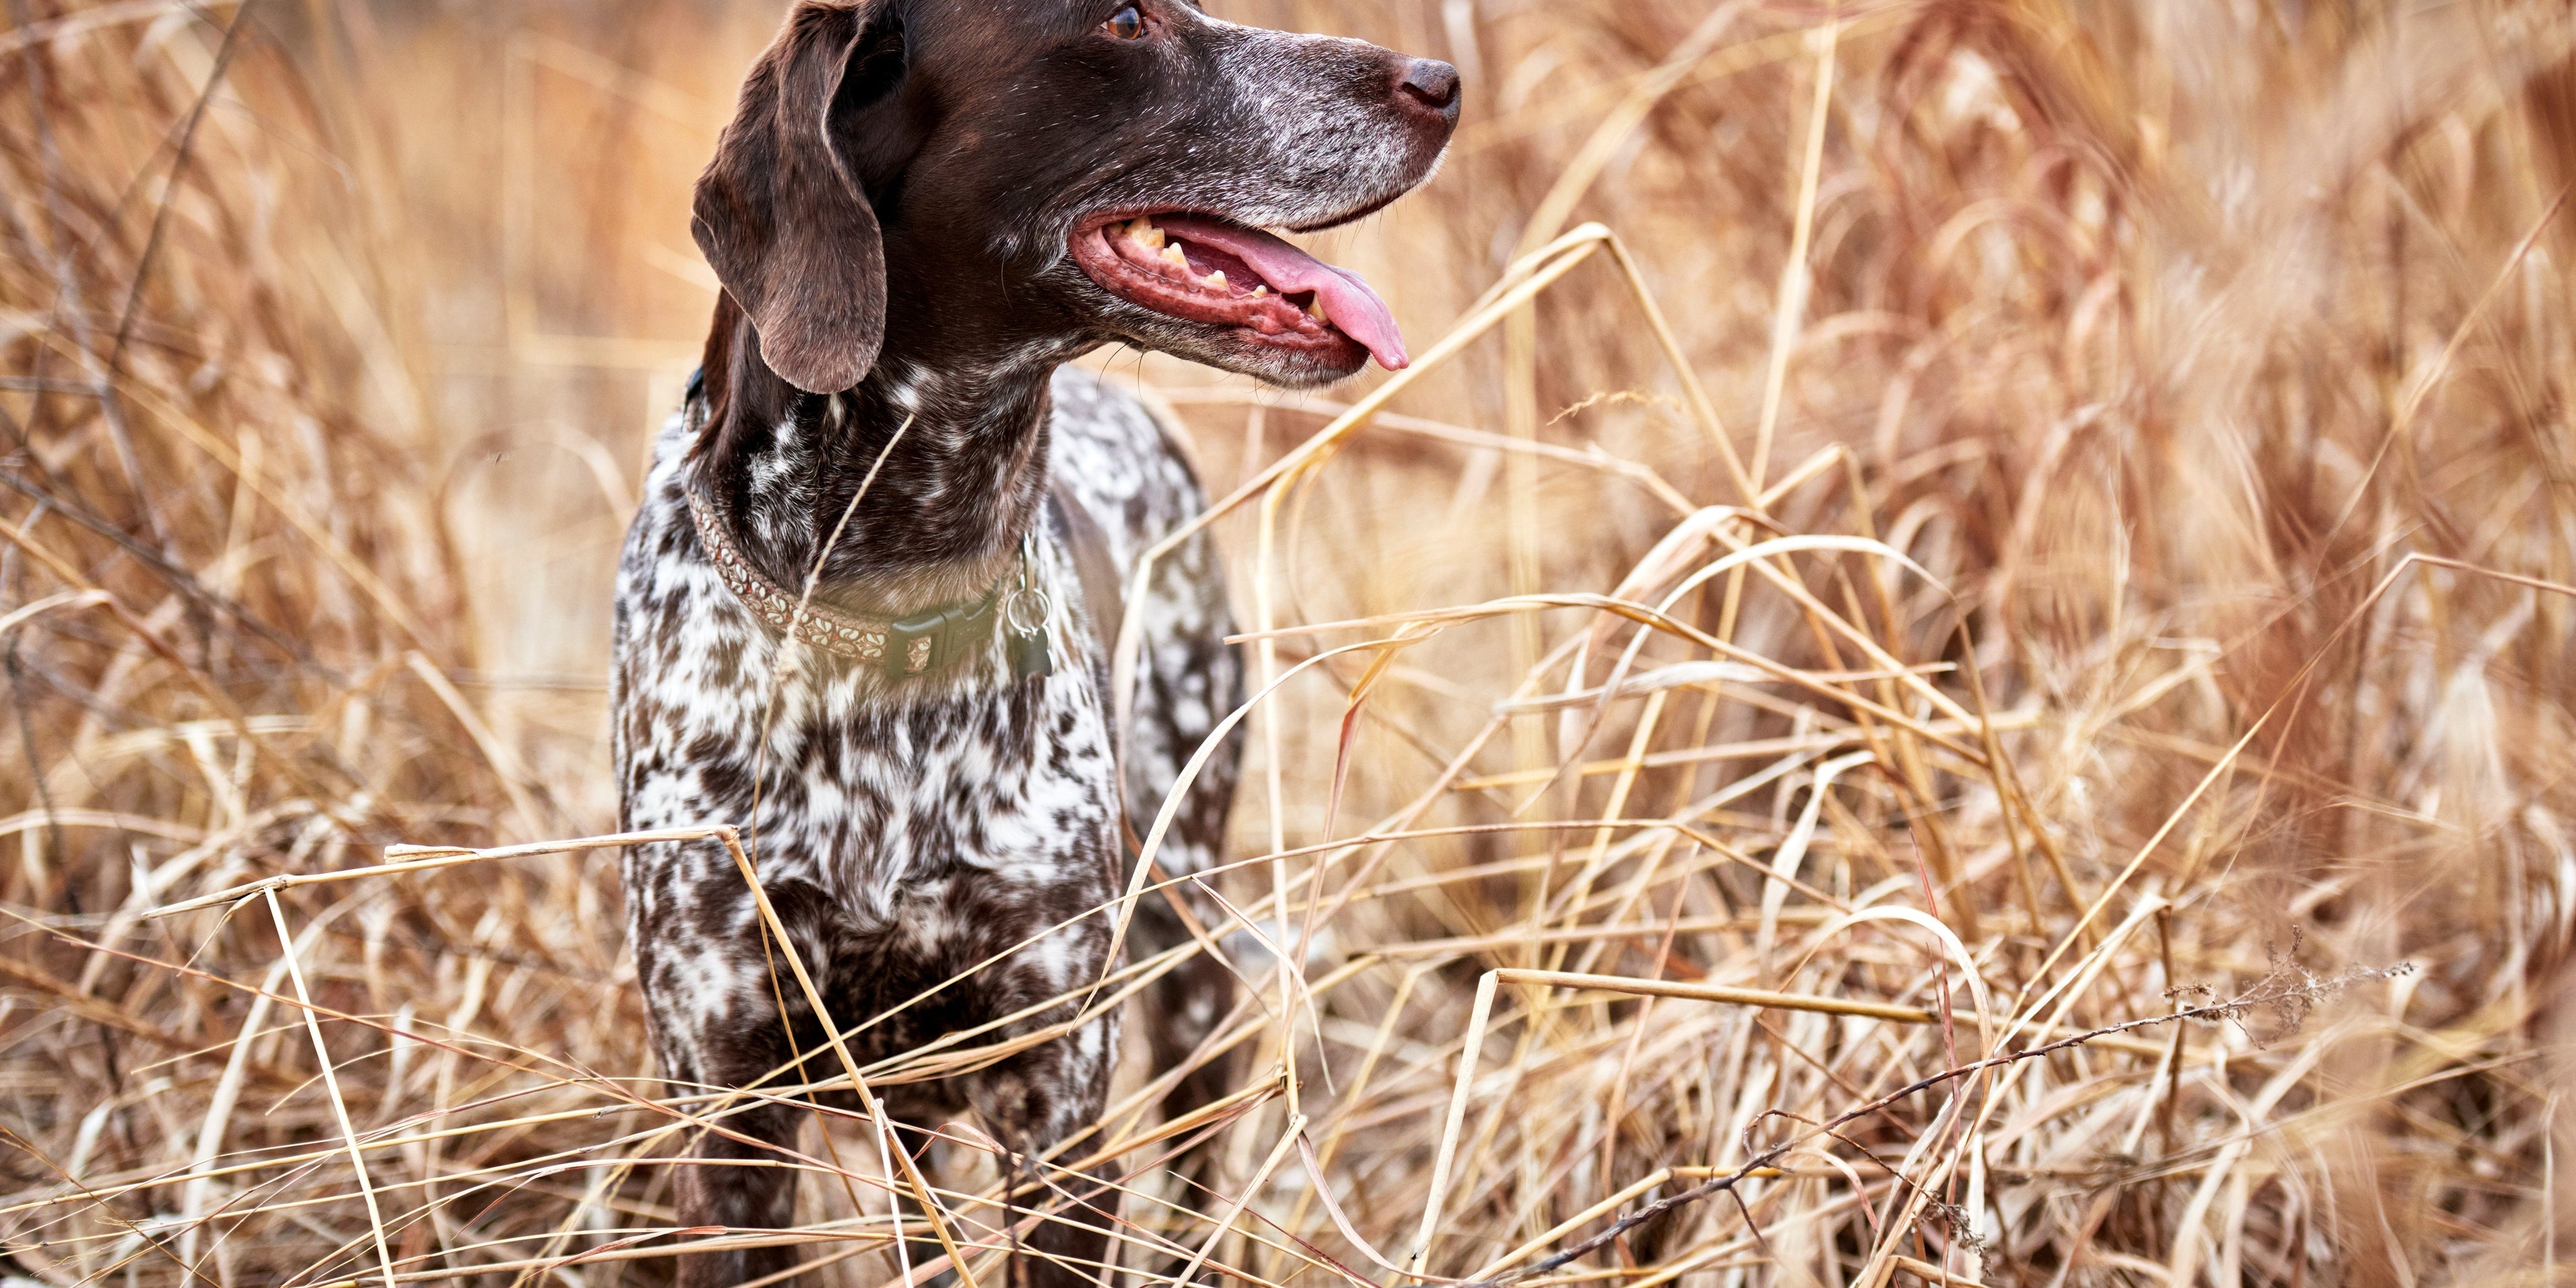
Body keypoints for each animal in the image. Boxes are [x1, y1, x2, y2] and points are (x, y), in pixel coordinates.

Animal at [600, 5, 1453, 1282]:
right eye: (1126, 19)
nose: (1442, 80)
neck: (886, 612)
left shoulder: (1057, 1100)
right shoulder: (729, 1105)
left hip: (1181, 922)